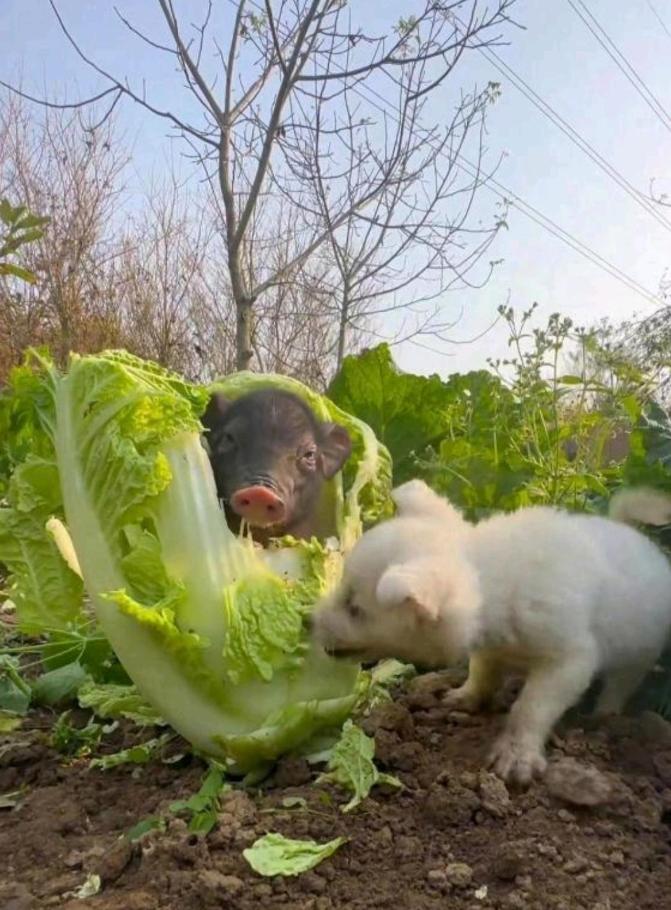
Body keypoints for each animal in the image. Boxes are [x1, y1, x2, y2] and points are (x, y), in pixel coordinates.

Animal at [314, 480, 671, 788]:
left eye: (355, 609)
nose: (308, 622)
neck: (492, 579)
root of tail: (637, 536)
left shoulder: (569, 661)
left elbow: (529, 707)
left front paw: (516, 756)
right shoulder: (490, 649)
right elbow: (482, 673)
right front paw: (466, 697)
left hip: (639, 651)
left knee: (622, 683)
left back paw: (605, 715)